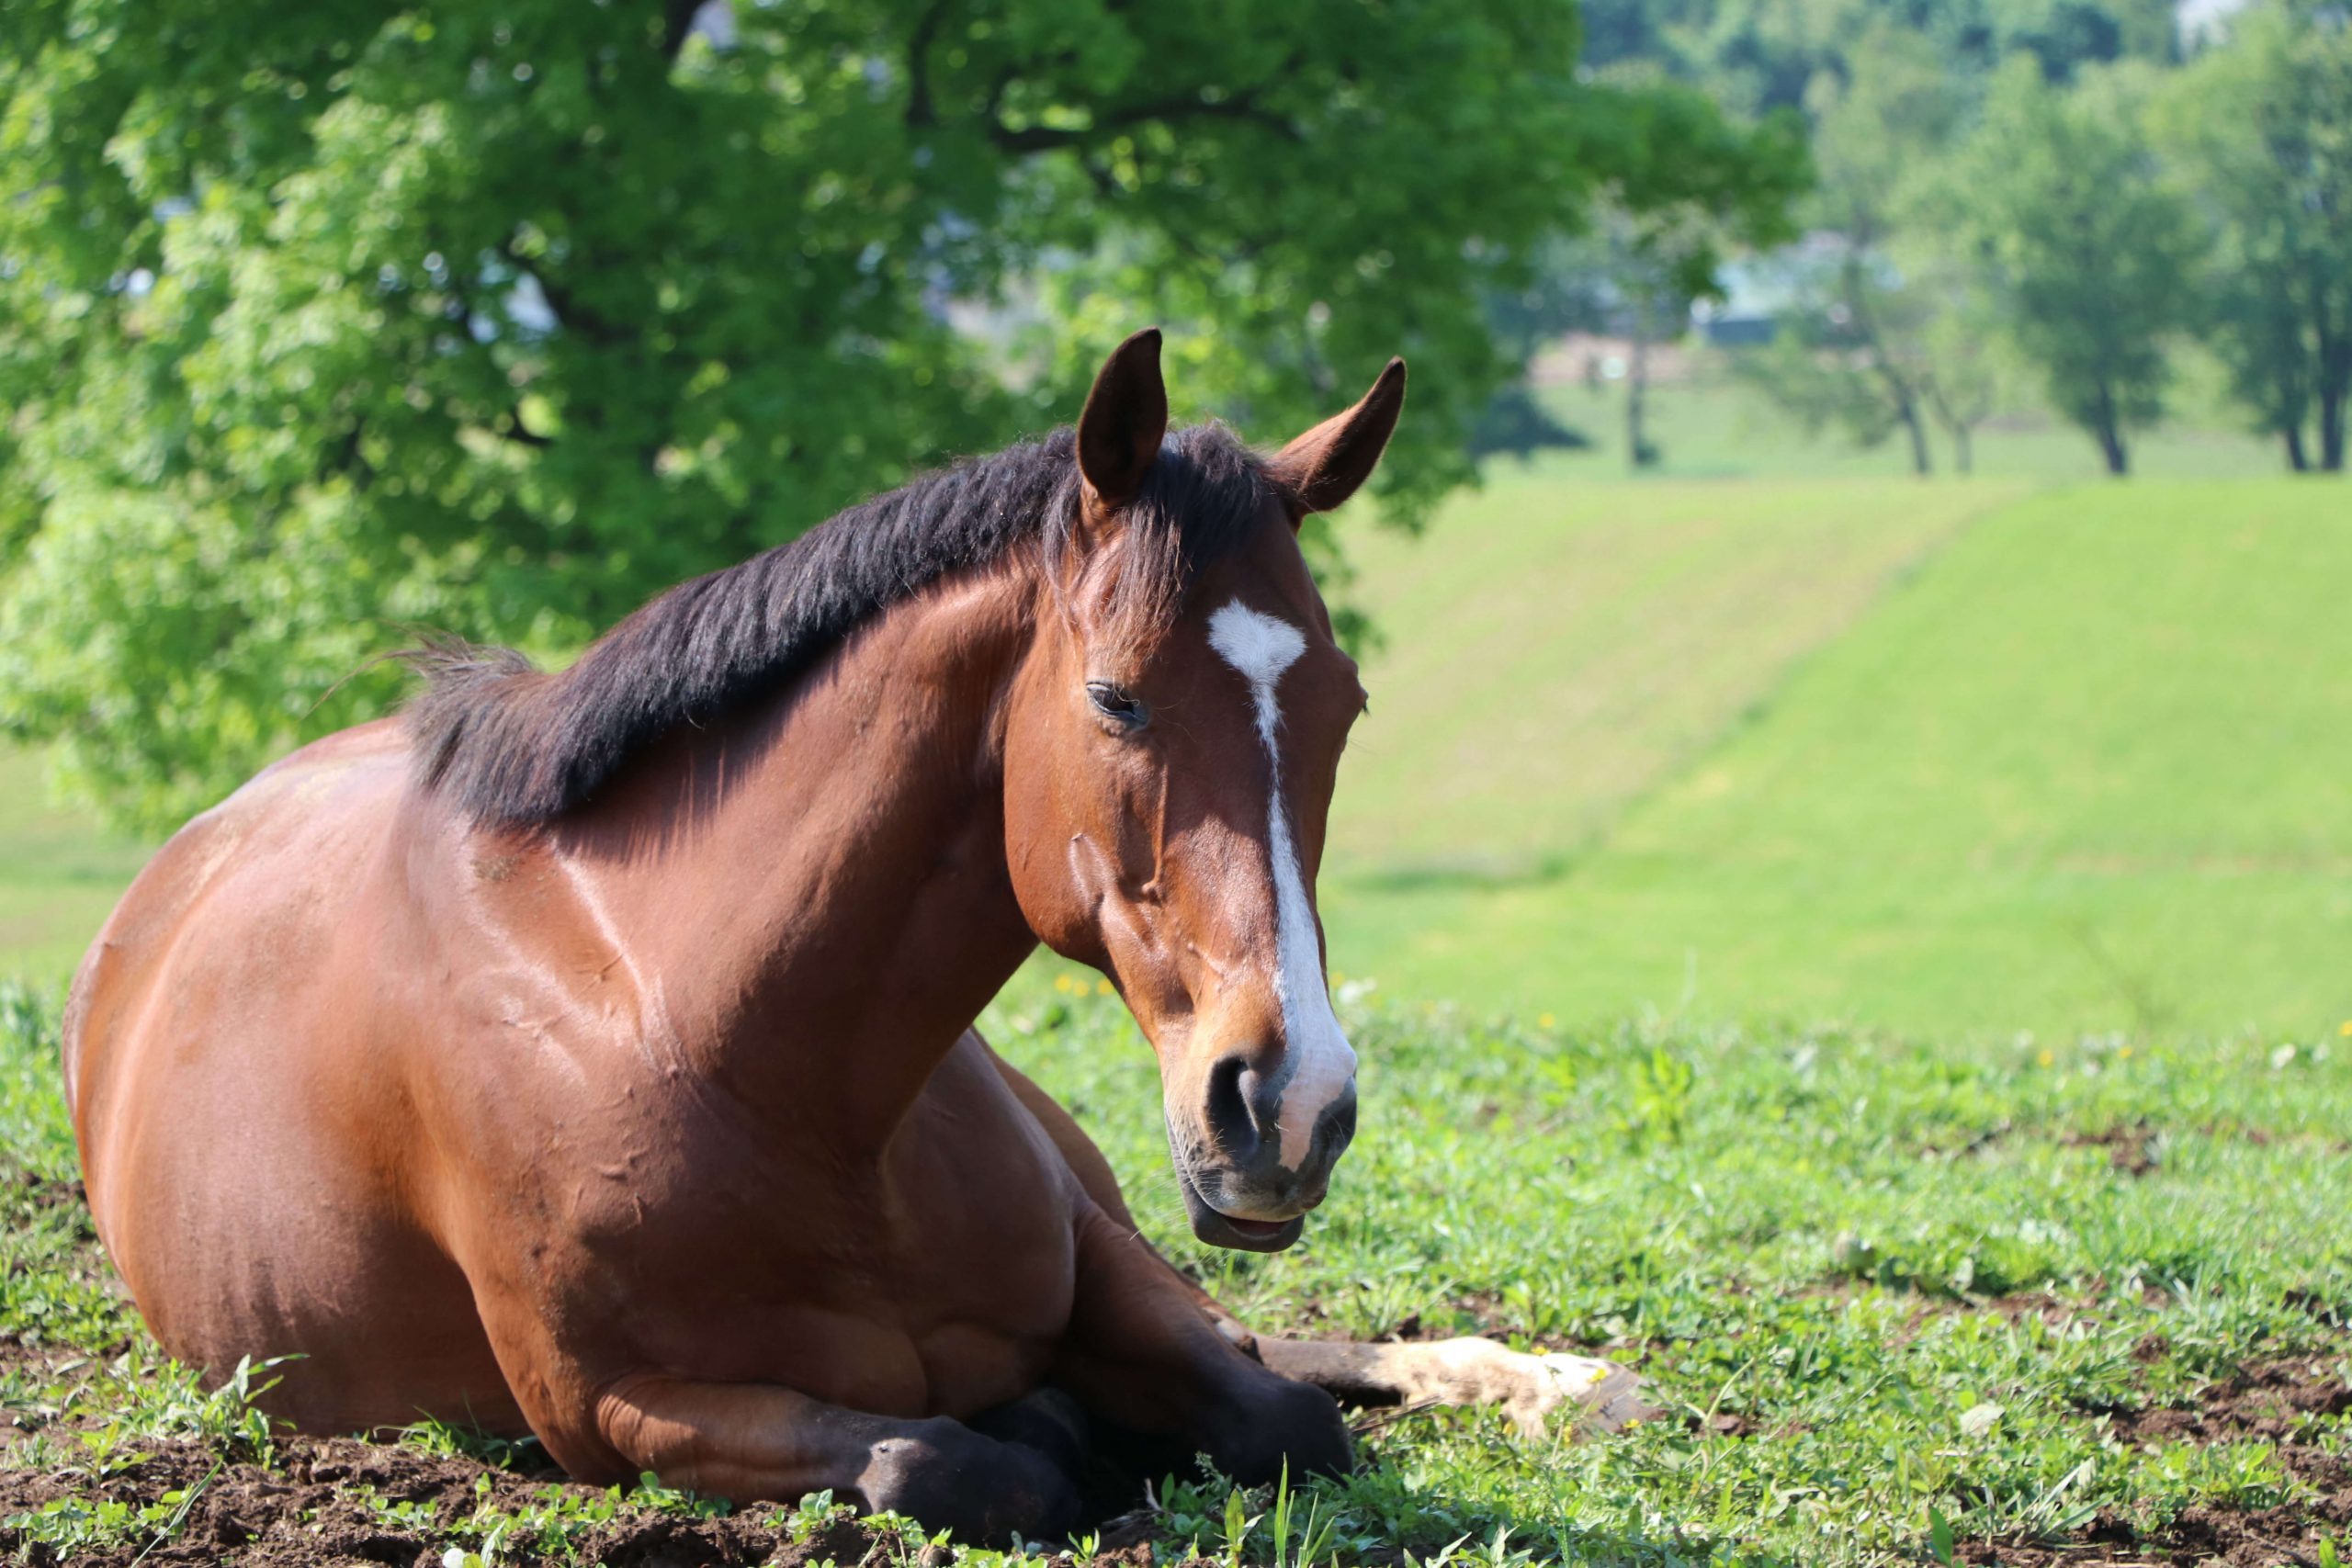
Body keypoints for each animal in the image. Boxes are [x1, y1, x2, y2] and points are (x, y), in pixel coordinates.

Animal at [55, 333, 1636, 1541]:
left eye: (1344, 703)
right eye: (1116, 696)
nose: (1290, 1101)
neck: (720, 1042)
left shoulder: (1109, 1265)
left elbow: (1281, 1410)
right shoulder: (619, 1412)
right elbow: (959, 1456)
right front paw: (1046, 1428)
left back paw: (1567, 1380)